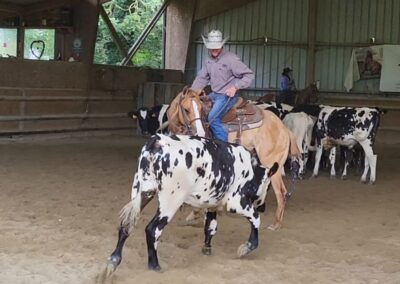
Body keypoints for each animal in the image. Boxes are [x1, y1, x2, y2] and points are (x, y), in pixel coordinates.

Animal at [106, 135, 278, 272]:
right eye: (269, 185)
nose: (263, 207)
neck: (251, 169)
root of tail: (157, 142)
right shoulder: (237, 203)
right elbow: (255, 219)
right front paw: (247, 247)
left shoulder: (211, 204)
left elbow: (211, 226)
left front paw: (207, 248)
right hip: (170, 202)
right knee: (152, 230)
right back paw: (154, 265)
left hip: (142, 193)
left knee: (126, 225)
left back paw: (114, 260)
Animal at [166, 87, 300, 231]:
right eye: (186, 109)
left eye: (201, 108)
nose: (200, 133)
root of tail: (284, 129)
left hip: (271, 164)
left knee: (281, 193)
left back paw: (275, 224)